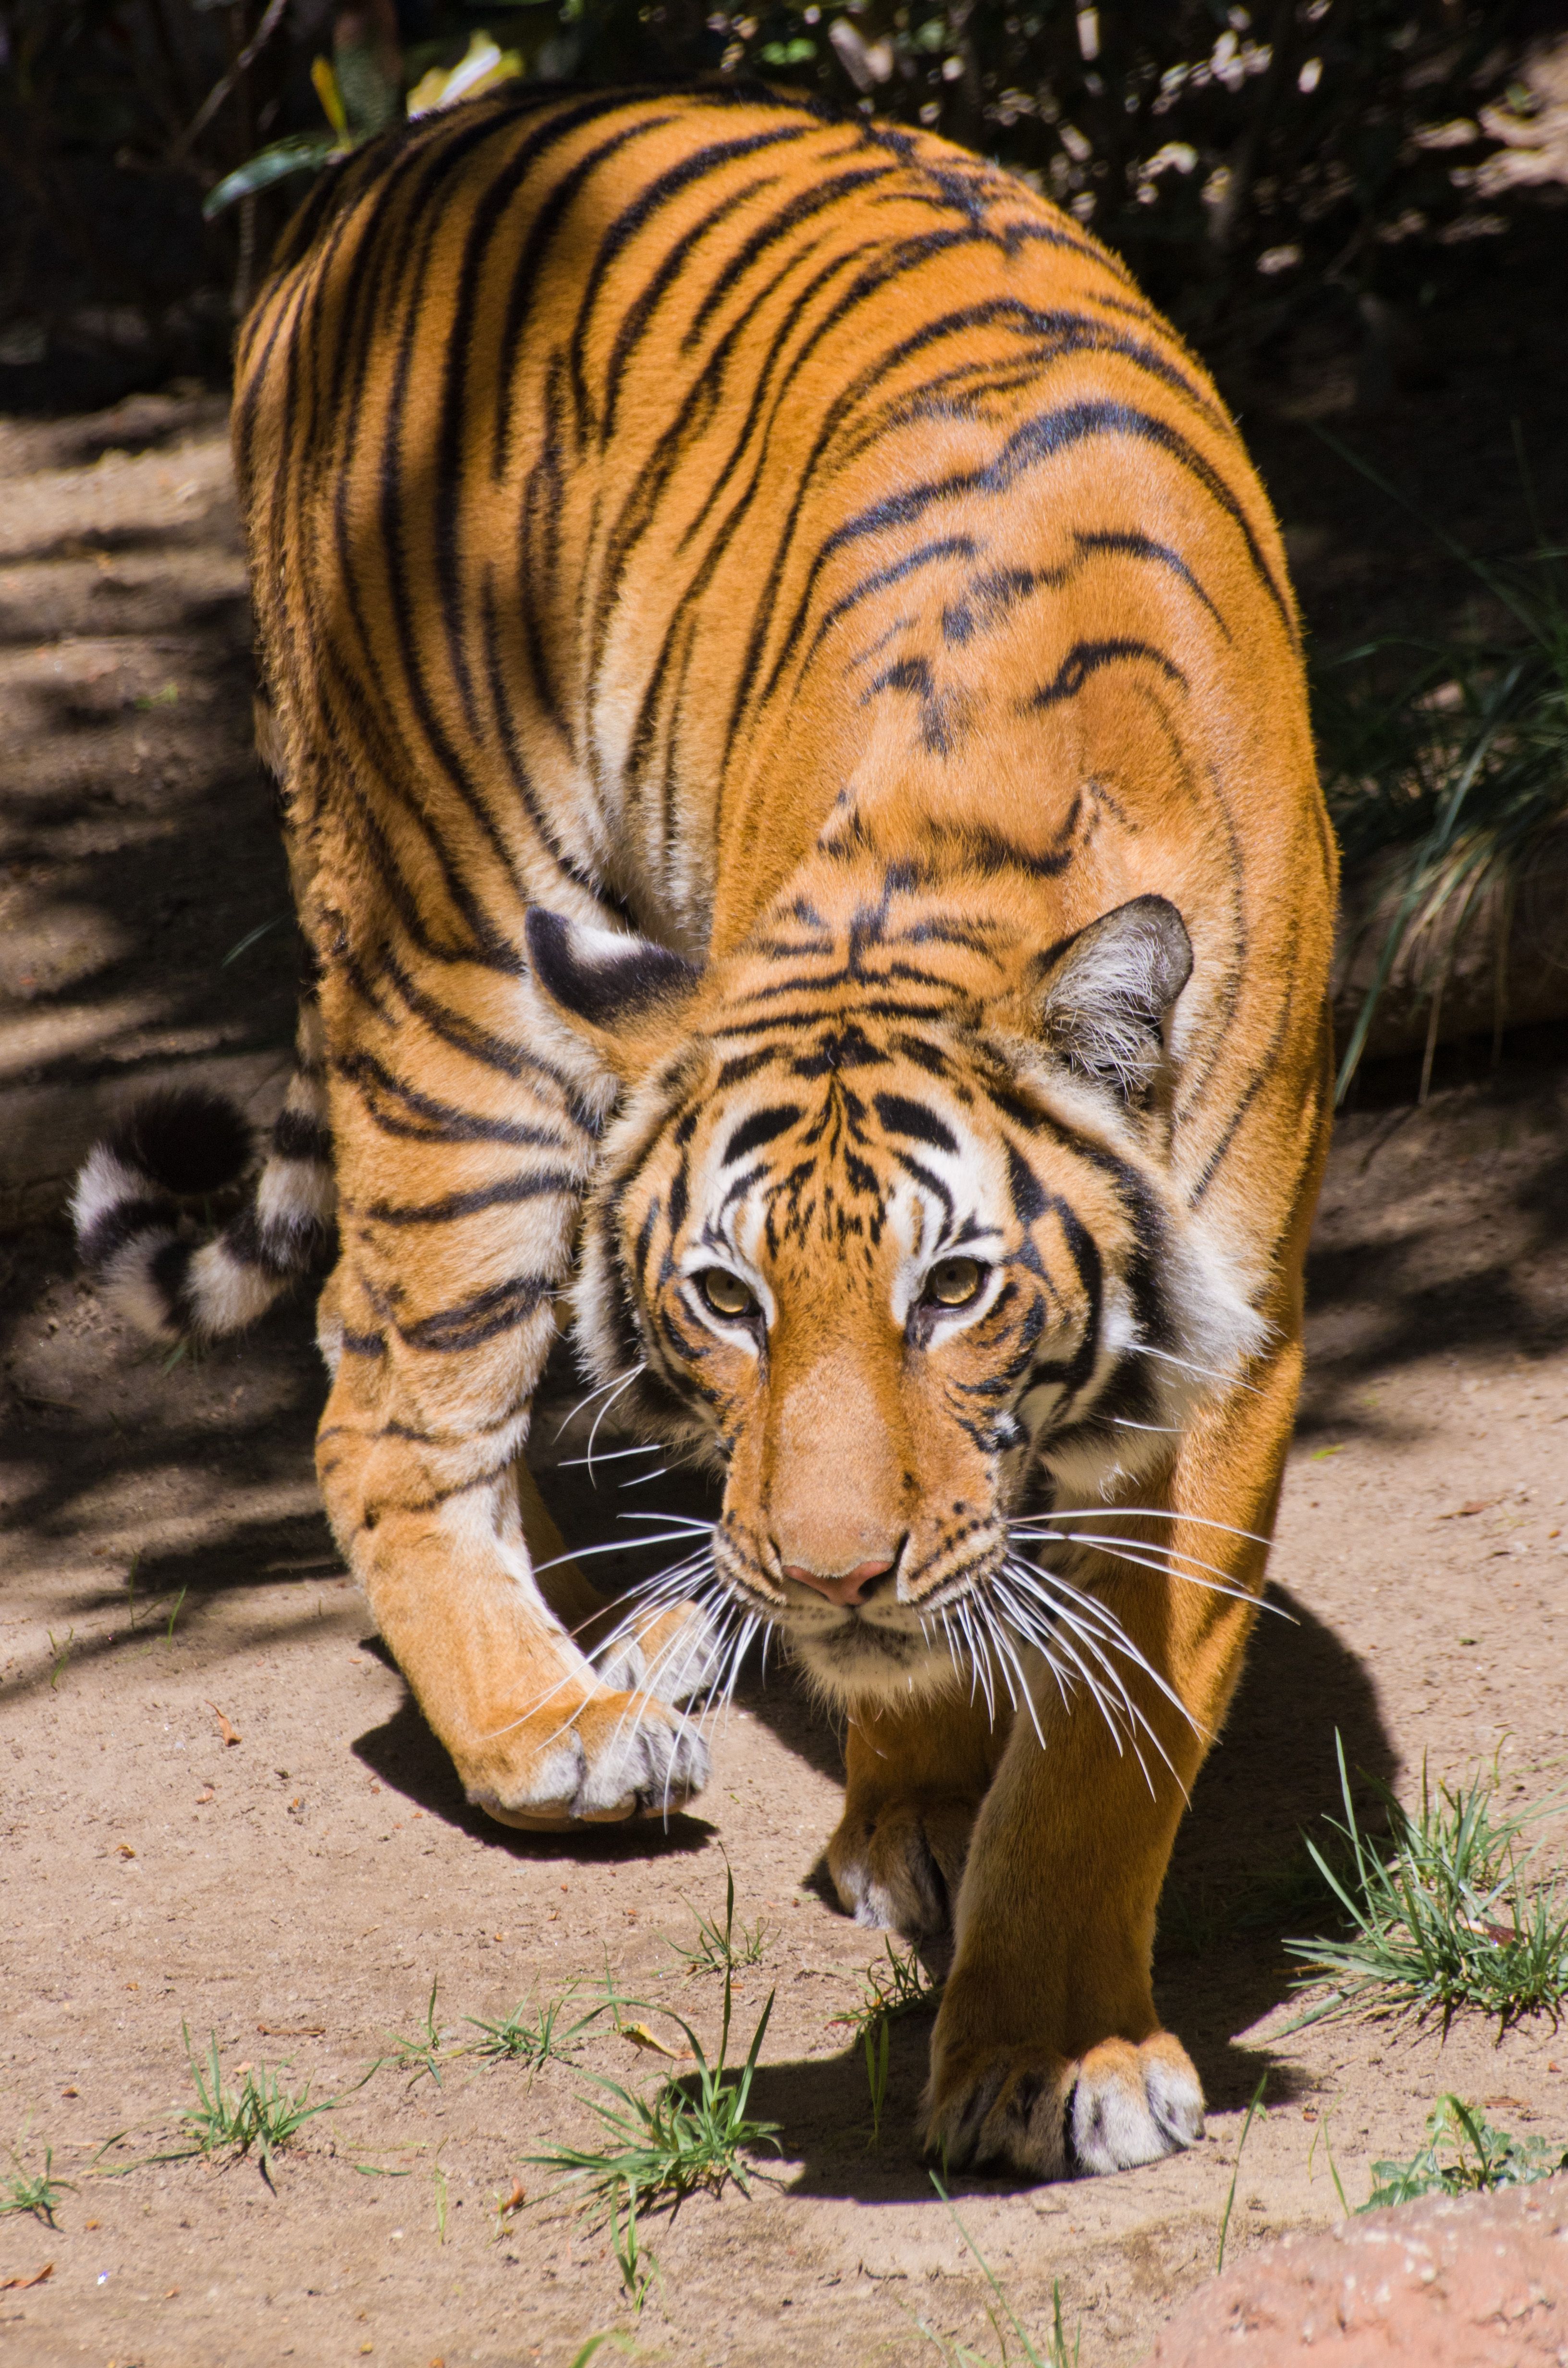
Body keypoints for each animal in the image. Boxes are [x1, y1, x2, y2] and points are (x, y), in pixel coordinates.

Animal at [72, 82, 1336, 2181]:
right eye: (728, 1297)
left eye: (958, 1287)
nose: (818, 1573)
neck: (969, 869)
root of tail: (367, 175)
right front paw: (947, 1874)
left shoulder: (1231, 1346)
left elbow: (1111, 1728)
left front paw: (1040, 2040)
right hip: (449, 963)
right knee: (379, 1401)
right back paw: (562, 1722)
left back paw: (638, 1643)